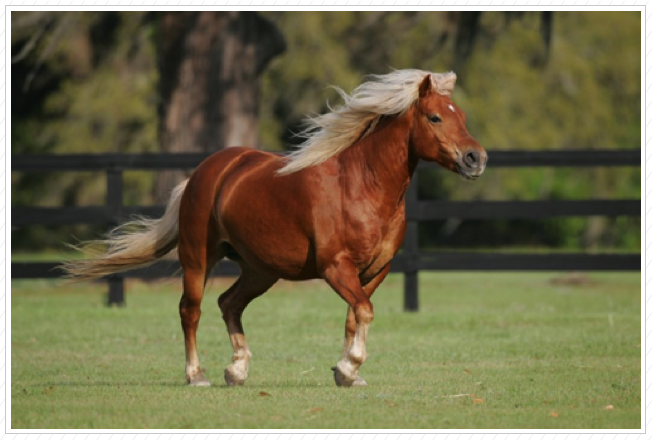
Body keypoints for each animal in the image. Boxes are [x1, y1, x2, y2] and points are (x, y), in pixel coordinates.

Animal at [62, 67, 488, 386]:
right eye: (435, 117)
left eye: (463, 117)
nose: (476, 158)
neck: (361, 186)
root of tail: (206, 171)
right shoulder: (336, 267)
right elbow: (364, 312)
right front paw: (349, 367)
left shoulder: (376, 270)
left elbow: (355, 314)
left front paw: (347, 373)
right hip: (198, 259)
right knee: (191, 310)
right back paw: (197, 375)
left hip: (260, 270)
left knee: (228, 303)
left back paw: (237, 369)